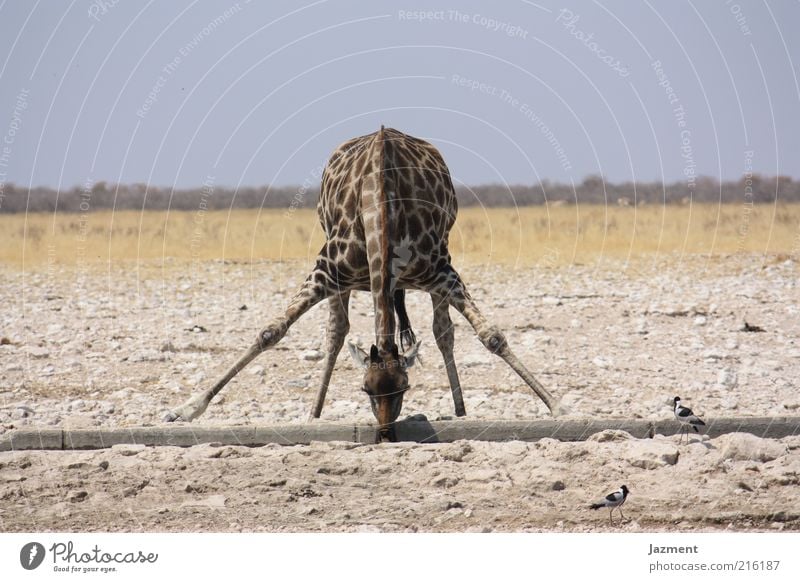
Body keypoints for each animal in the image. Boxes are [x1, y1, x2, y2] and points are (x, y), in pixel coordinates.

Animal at [165, 128, 560, 442]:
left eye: (404, 388)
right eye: (364, 388)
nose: (385, 435)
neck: (381, 205)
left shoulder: (442, 272)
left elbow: (491, 336)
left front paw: (556, 405)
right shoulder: (326, 272)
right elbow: (270, 332)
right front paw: (184, 409)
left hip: (436, 266)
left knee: (442, 331)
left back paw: (461, 411)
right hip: (344, 281)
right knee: (336, 332)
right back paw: (314, 413)